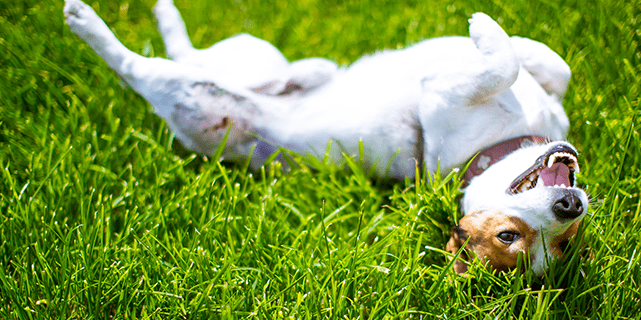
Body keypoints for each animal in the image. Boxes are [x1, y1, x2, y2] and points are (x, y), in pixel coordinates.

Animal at [62, 0, 588, 276]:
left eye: (561, 241)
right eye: (508, 235)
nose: (570, 206)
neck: (502, 145)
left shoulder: (443, 96)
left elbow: (509, 64)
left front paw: (488, 35)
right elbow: (541, 62)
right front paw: (494, 33)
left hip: (190, 94)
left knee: (136, 66)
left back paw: (88, 23)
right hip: (256, 55)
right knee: (193, 53)